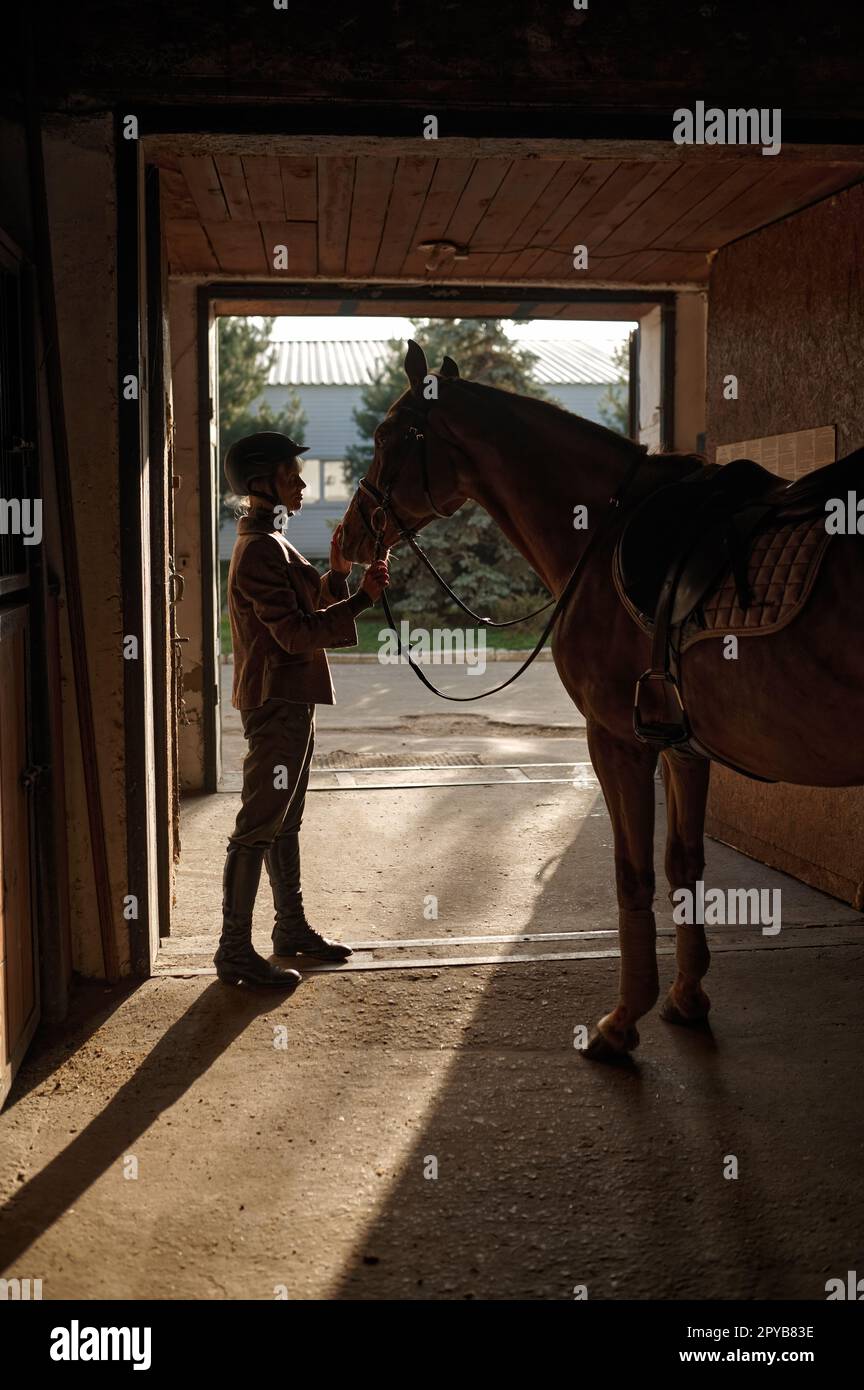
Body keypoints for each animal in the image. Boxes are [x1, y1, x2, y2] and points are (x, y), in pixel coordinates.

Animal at [338, 340, 864, 1060]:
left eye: (390, 436)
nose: (346, 540)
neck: (603, 530)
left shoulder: (616, 742)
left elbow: (632, 872)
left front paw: (622, 1023)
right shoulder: (682, 749)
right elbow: (683, 864)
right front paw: (687, 998)